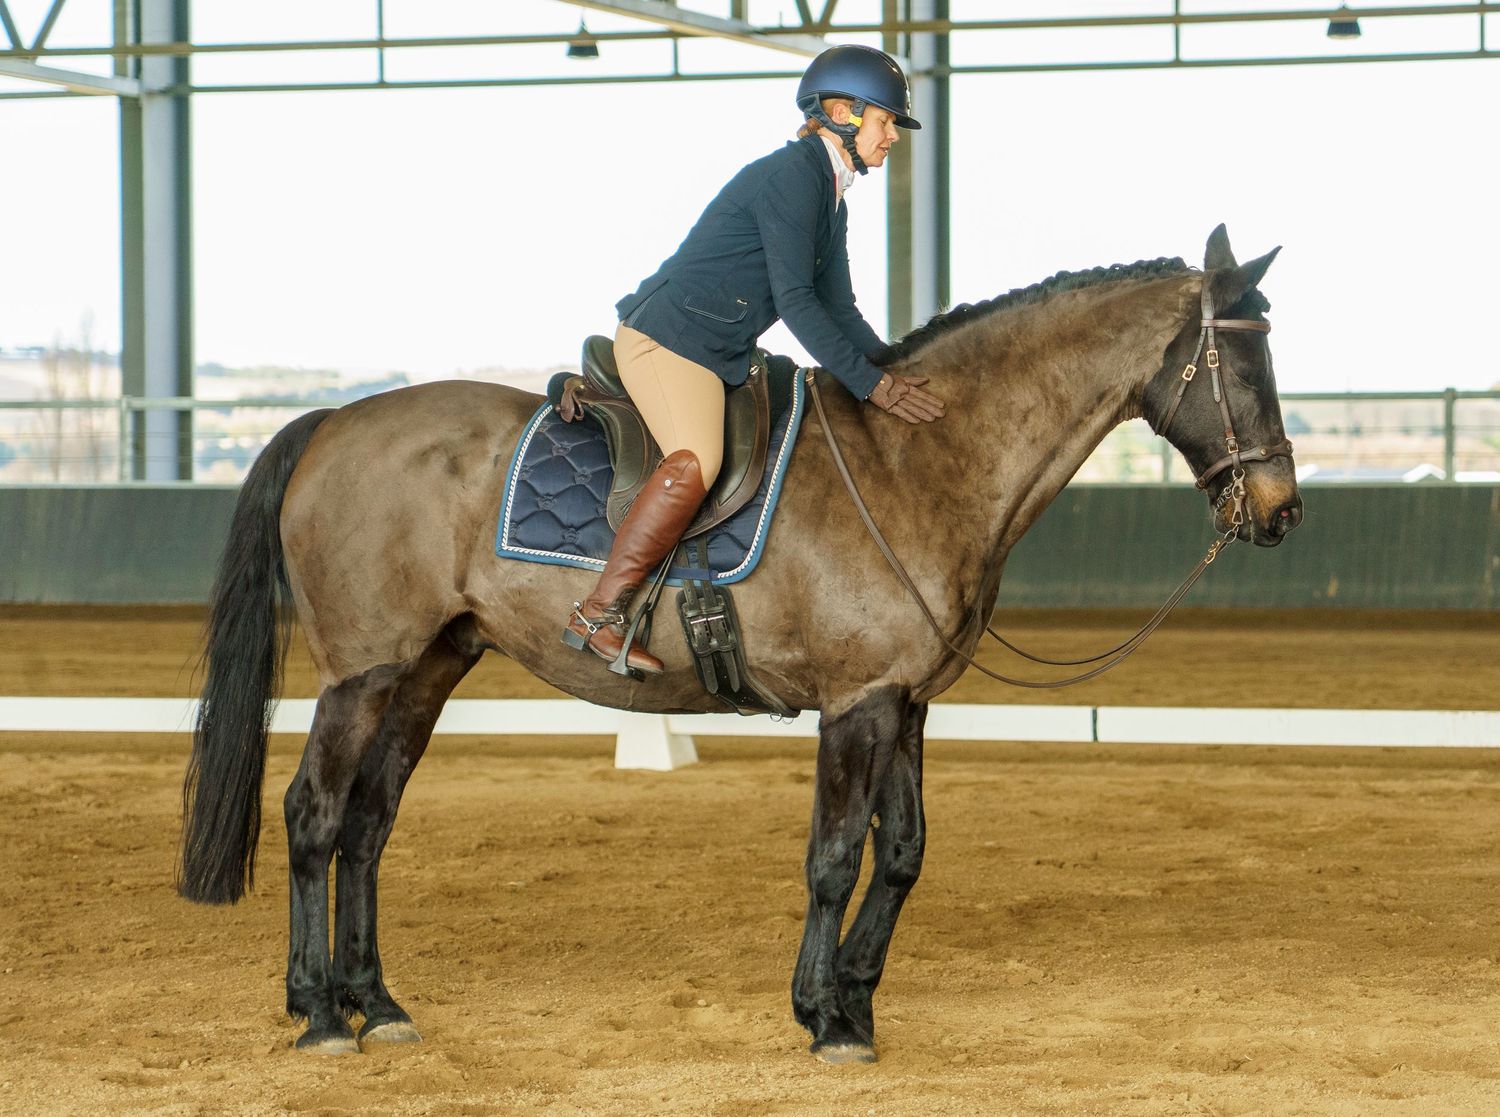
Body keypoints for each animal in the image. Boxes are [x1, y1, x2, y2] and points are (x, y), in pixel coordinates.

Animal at [178, 225, 1302, 1062]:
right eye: (1239, 359)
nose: (1280, 510)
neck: (918, 462)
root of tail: (333, 421)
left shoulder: (906, 700)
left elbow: (903, 854)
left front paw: (857, 997)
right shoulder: (856, 701)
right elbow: (834, 857)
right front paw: (824, 1018)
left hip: (431, 664)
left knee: (369, 823)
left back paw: (379, 1004)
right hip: (361, 670)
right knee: (315, 814)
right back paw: (320, 1013)